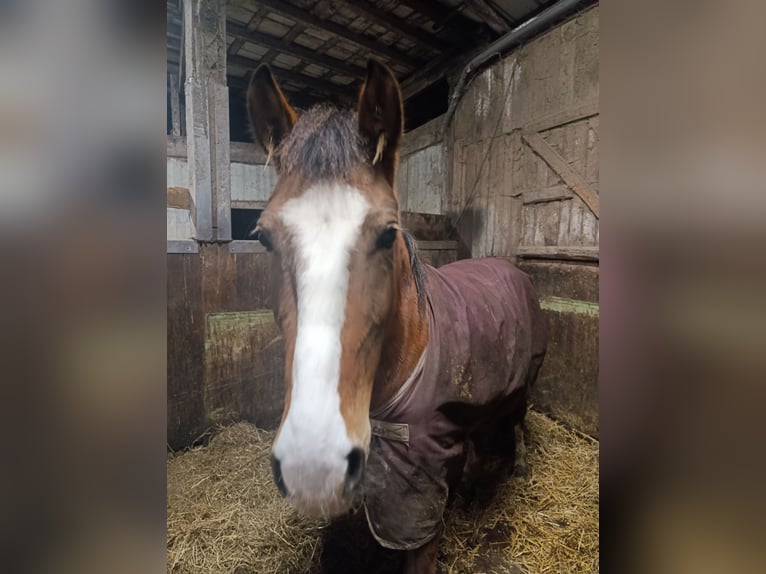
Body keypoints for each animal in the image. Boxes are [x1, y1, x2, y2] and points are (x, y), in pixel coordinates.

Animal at [246, 59, 548, 574]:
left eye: (389, 233)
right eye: (264, 236)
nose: (314, 463)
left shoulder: (419, 499)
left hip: (526, 380)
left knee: (520, 419)